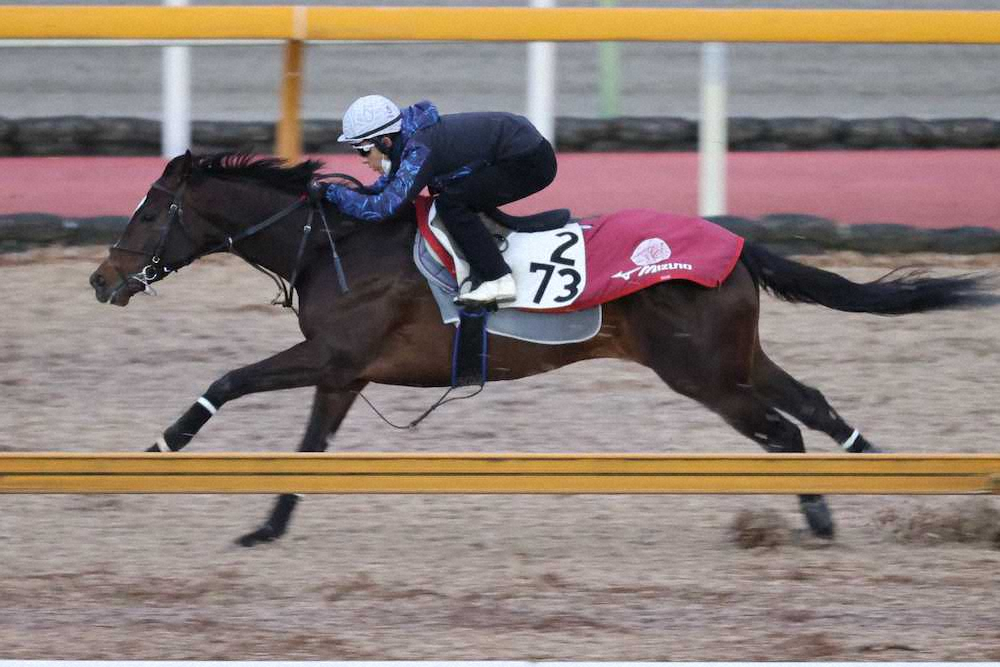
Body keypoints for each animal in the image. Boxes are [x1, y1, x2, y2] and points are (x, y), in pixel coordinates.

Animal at [90, 151, 996, 548]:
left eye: (147, 211)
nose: (102, 280)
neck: (335, 243)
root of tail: (737, 243)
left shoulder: (331, 357)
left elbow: (230, 377)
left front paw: (164, 443)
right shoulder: (344, 373)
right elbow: (308, 449)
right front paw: (266, 527)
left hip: (701, 373)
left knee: (784, 431)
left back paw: (822, 515)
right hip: (735, 359)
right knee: (813, 407)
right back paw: (893, 483)